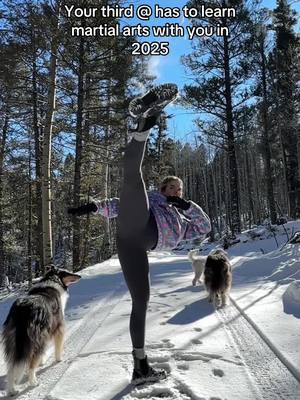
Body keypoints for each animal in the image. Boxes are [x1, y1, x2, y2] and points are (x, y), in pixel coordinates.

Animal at [1, 266, 81, 394]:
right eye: (65, 272)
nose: (79, 276)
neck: (53, 279)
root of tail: (23, 309)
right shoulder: (58, 328)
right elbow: (58, 347)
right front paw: (59, 360)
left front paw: (42, 362)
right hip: (36, 339)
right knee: (30, 365)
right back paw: (33, 382)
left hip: (13, 342)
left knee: (12, 368)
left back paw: (12, 390)